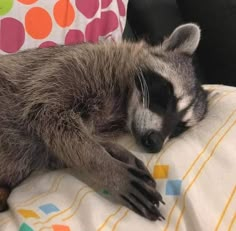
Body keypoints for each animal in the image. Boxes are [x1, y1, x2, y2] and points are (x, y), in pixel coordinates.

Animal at [0, 23, 206, 220]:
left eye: (179, 127)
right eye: (167, 94)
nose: (156, 142)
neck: (123, 105)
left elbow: (61, 144)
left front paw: (111, 148)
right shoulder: (67, 66)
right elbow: (47, 115)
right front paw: (106, 165)